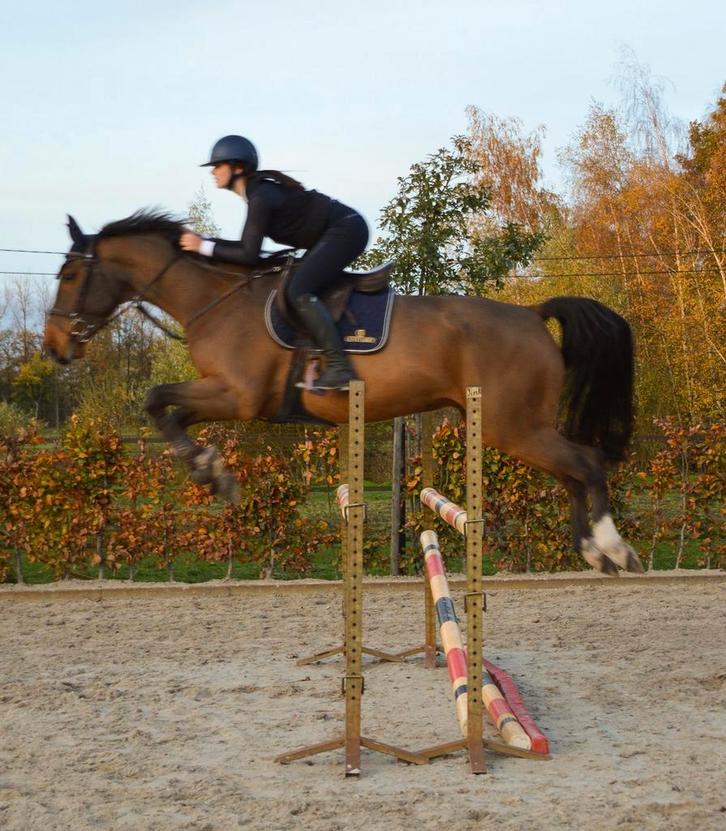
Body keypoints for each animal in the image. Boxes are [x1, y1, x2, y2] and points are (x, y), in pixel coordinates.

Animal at [43, 210, 643, 576]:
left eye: (70, 276)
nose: (54, 347)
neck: (215, 299)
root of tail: (532, 314)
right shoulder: (224, 394)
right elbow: (162, 406)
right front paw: (208, 469)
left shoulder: (237, 396)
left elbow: (156, 399)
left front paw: (211, 474)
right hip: (519, 427)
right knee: (572, 472)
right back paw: (593, 552)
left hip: (511, 426)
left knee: (587, 464)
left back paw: (614, 547)